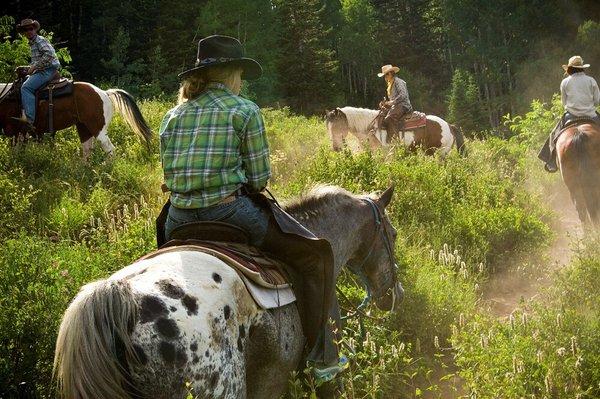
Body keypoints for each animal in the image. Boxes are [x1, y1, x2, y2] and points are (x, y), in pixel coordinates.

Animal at [0, 75, 152, 158]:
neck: (7, 96)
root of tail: (105, 92)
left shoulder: (17, 130)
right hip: (83, 128)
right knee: (87, 150)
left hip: (98, 130)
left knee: (110, 150)